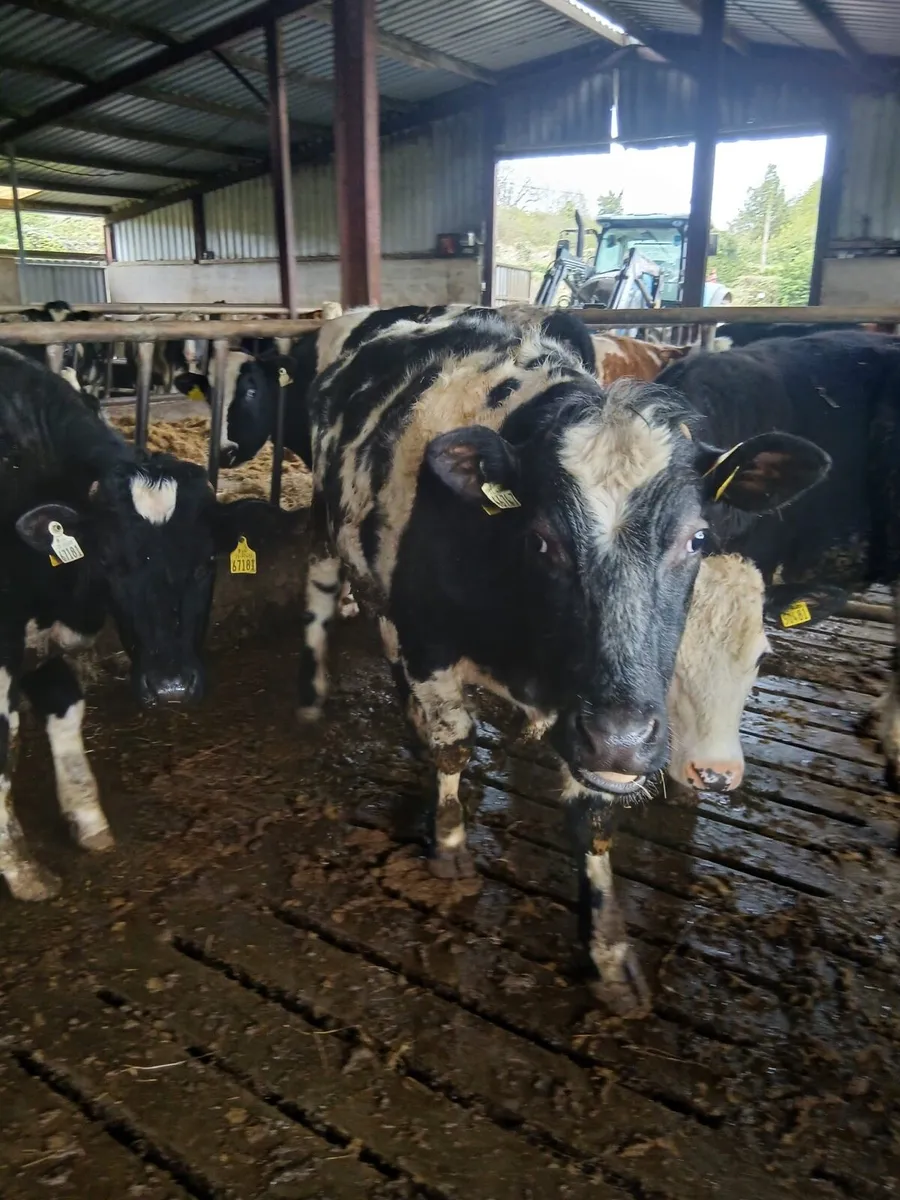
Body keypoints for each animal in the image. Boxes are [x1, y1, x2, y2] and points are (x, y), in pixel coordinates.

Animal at [0, 348, 267, 902]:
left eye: (206, 562)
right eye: (109, 562)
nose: (171, 688)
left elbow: (64, 708)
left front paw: (87, 819)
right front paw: (21, 870)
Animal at [293, 304, 827, 1010]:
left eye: (697, 539)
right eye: (542, 538)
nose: (621, 737)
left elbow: (594, 813)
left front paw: (608, 951)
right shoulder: (432, 640)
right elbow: (455, 744)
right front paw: (450, 844)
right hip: (325, 524)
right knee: (322, 597)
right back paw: (314, 694)